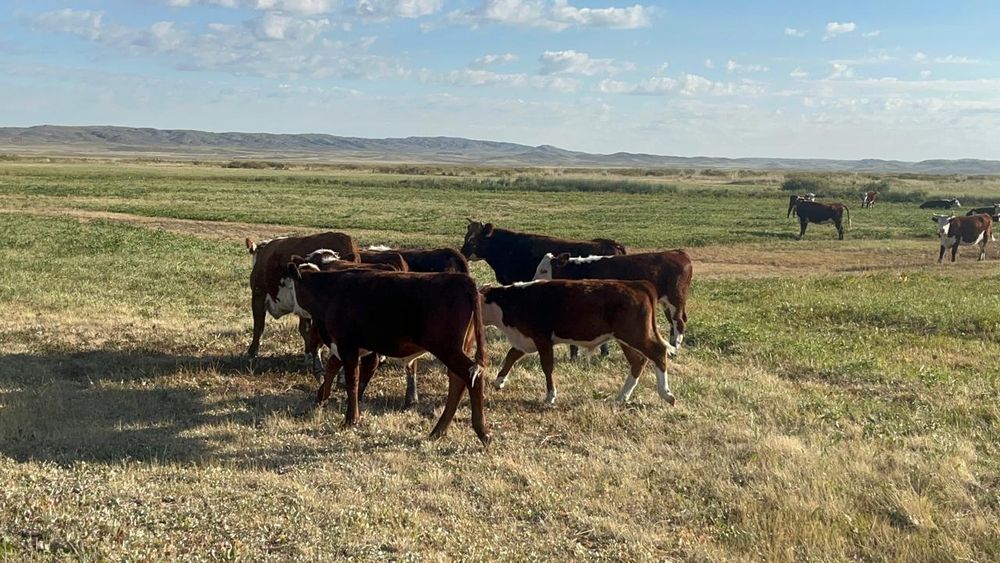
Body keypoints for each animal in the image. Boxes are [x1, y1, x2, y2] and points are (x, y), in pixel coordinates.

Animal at [282, 265, 491, 446]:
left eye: (284, 283)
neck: (330, 291)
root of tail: (463, 280)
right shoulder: (352, 347)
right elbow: (332, 367)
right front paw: (321, 398)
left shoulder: (347, 346)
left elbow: (351, 381)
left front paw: (351, 419)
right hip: (457, 348)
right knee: (459, 380)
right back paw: (439, 431)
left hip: (447, 348)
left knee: (470, 376)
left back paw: (482, 431)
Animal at [481, 280, 675, 406]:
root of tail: (638, 284)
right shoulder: (525, 340)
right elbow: (511, 355)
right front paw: (498, 381)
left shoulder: (542, 339)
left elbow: (547, 367)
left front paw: (550, 396)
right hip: (625, 339)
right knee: (638, 361)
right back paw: (622, 396)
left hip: (634, 334)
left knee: (658, 353)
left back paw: (666, 394)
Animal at [533, 250, 693, 355]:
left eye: (543, 270)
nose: (533, 282)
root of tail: (678, 253)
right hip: (667, 302)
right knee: (673, 322)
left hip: (675, 299)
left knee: (678, 322)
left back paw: (675, 349)